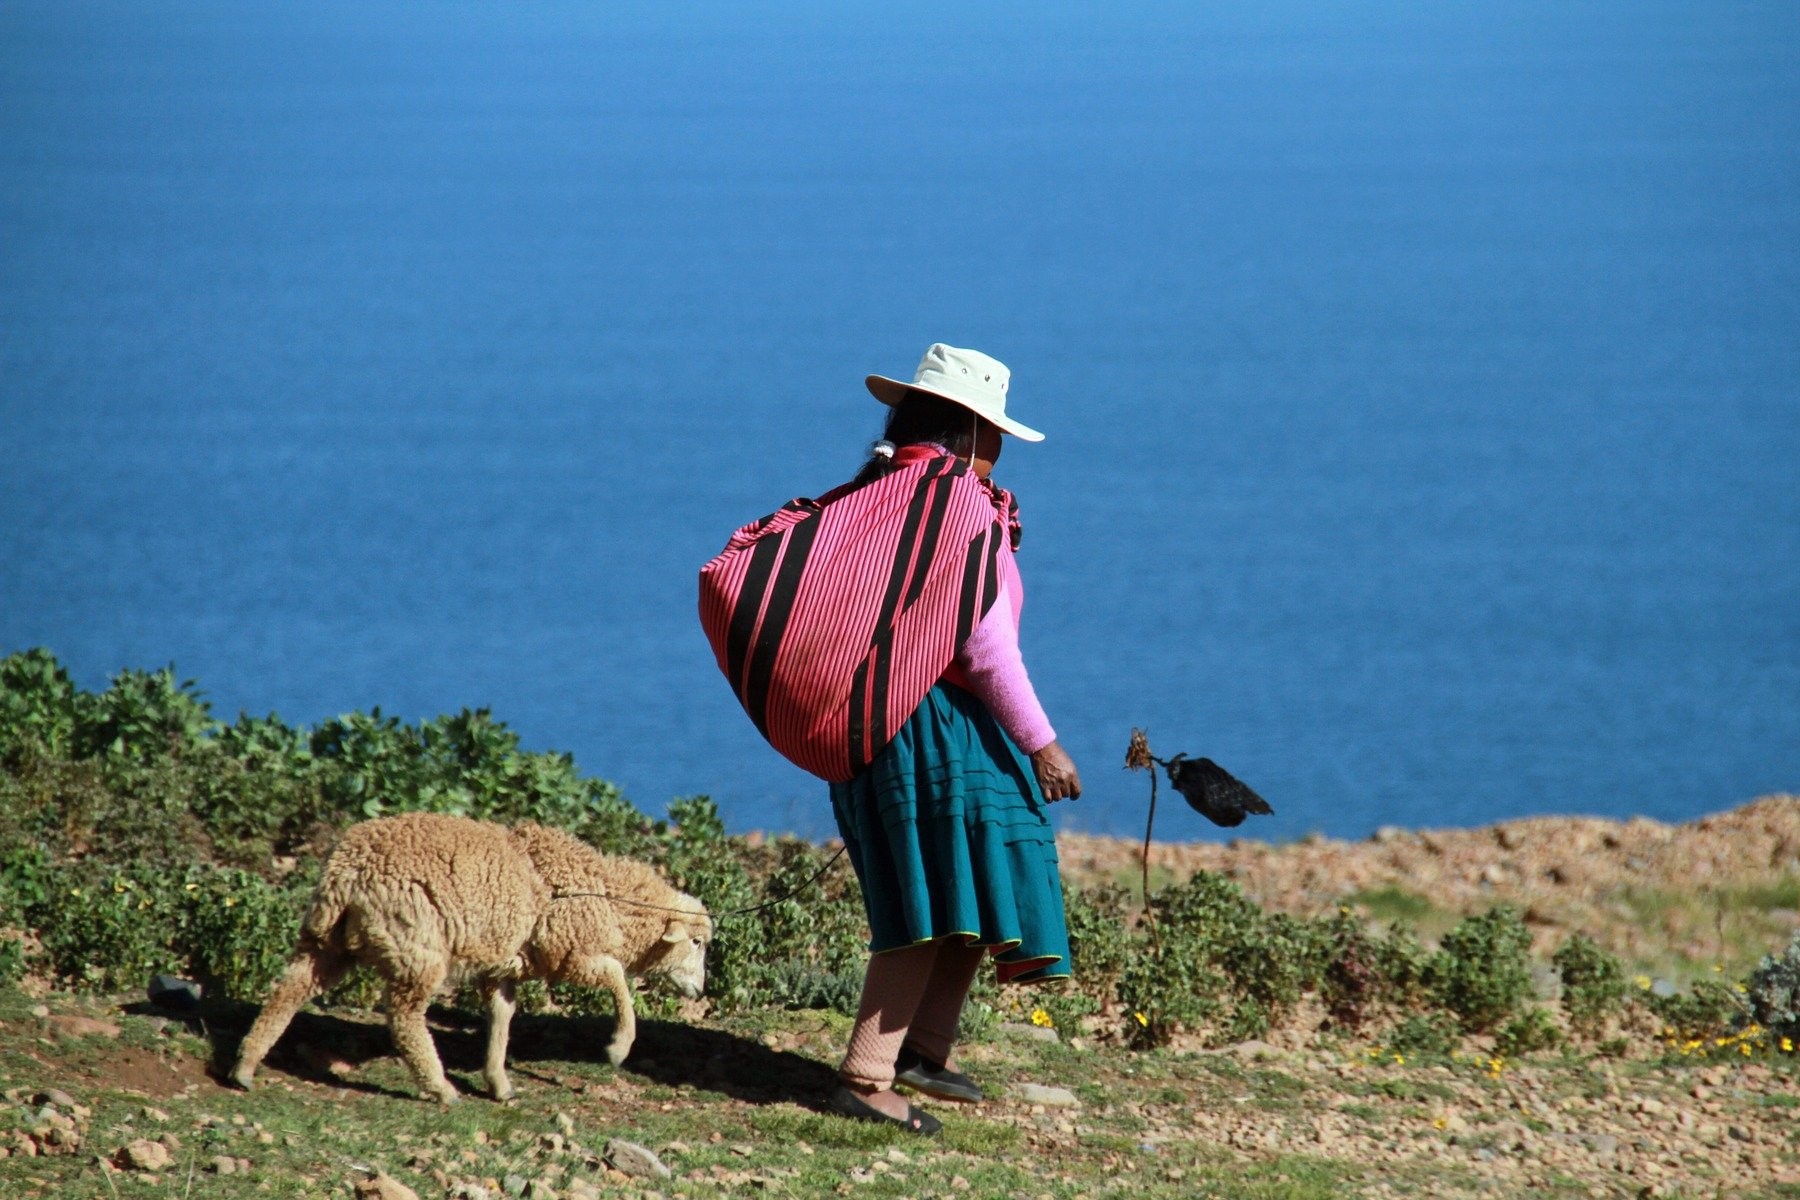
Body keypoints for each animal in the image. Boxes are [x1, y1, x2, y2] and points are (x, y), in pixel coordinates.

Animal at [234, 813, 716, 1101]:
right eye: (697, 942)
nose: (700, 989)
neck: (608, 895)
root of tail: (347, 871)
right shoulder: (570, 951)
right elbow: (617, 978)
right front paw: (619, 1046)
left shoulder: (505, 967)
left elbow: (502, 1018)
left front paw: (498, 1081)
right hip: (417, 946)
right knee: (405, 1017)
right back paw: (439, 1087)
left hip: (327, 940)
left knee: (291, 987)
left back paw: (245, 1065)